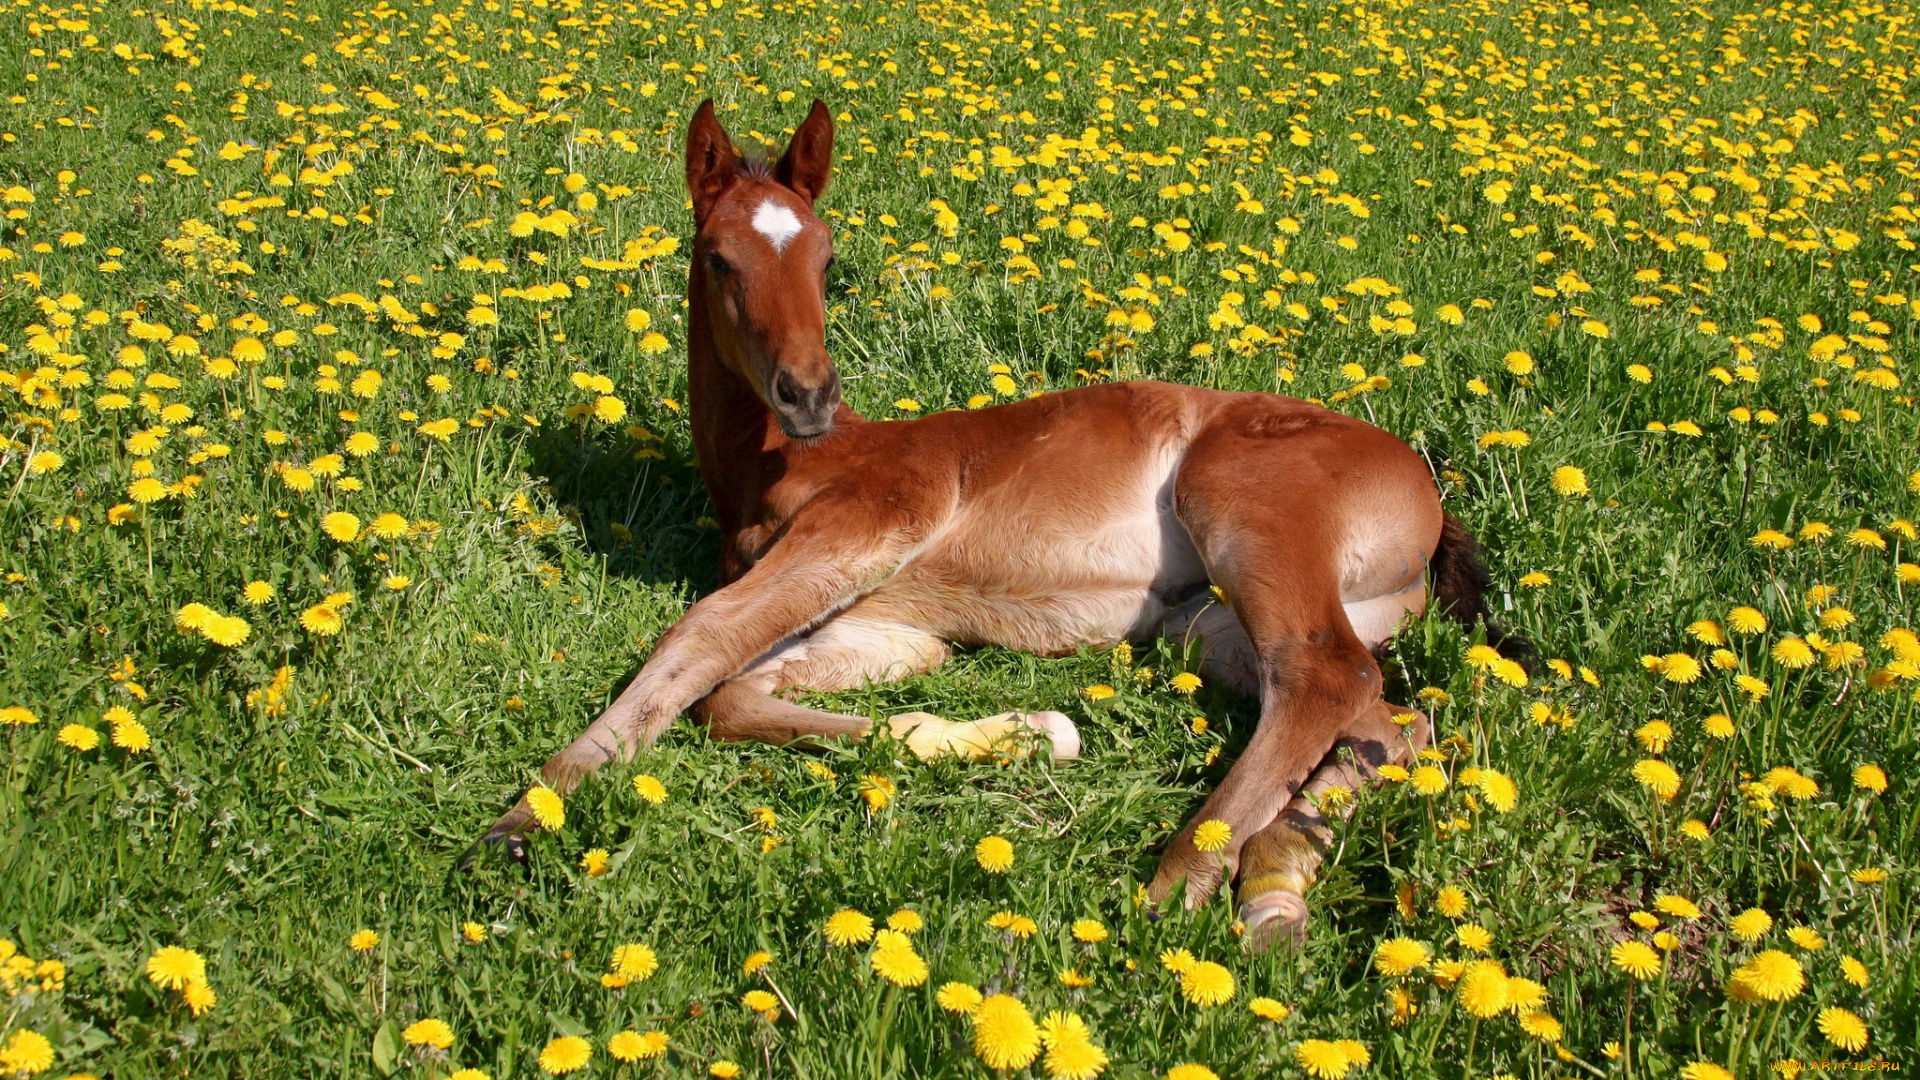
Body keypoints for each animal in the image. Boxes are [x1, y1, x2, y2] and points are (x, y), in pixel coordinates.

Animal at [472, 98, 1489, 941]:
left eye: (827, 259)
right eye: (719, 257)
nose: (808, 393)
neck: (784, 464)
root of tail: (1426, 492)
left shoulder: (873, 520)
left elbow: (702, 638)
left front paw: (525, 817)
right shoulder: (878, 622)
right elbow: (739, 698)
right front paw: (1028, 732)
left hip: (1248, 511)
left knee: (1324, 675)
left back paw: (1176, 883)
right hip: (1211, 627)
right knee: (1389, 720)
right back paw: (1273, 888)